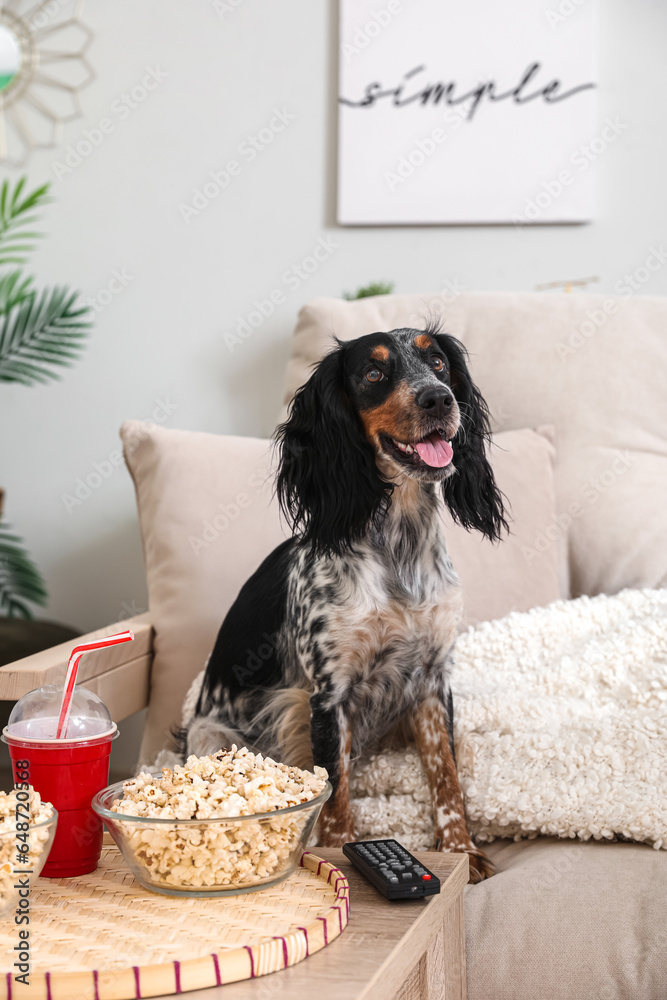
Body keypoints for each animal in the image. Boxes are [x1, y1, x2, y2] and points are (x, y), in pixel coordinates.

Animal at [183, 324, 506, 880]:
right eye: (373, 373)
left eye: (438, 362)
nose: (439, 399)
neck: (399, 547)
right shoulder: (327, 693)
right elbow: (335, 793)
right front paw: (336, 855)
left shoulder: (431, 681)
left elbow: (446, 779)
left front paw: (462, 852)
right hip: (212, 735)